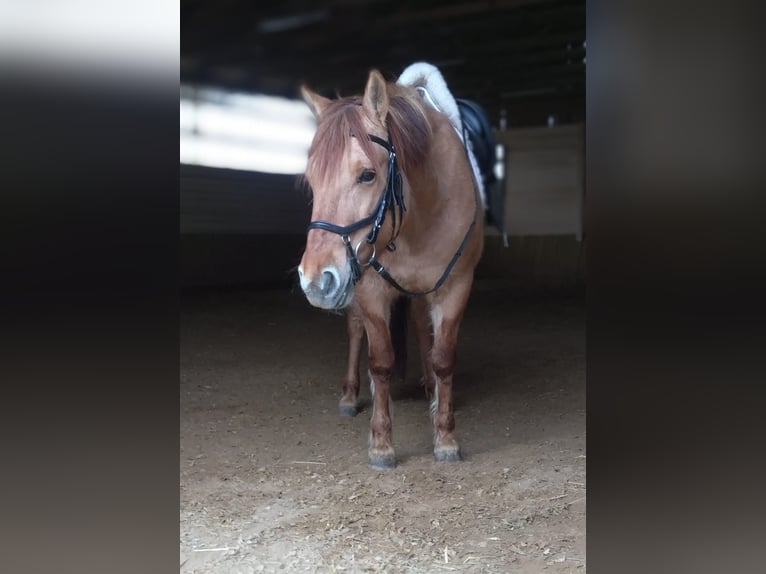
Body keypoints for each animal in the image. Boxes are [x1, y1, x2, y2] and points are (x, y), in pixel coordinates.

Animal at [300, 64, 486, 468]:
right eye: (311, 180)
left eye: (367, 174)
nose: (314, 282)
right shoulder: (370, 290)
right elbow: (381, 361)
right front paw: (381, 444)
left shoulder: (456, 286)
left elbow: (443, 357)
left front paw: (445, 438)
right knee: (357, 332)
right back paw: (350, 396)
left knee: (419, 325)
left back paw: (429, 388)